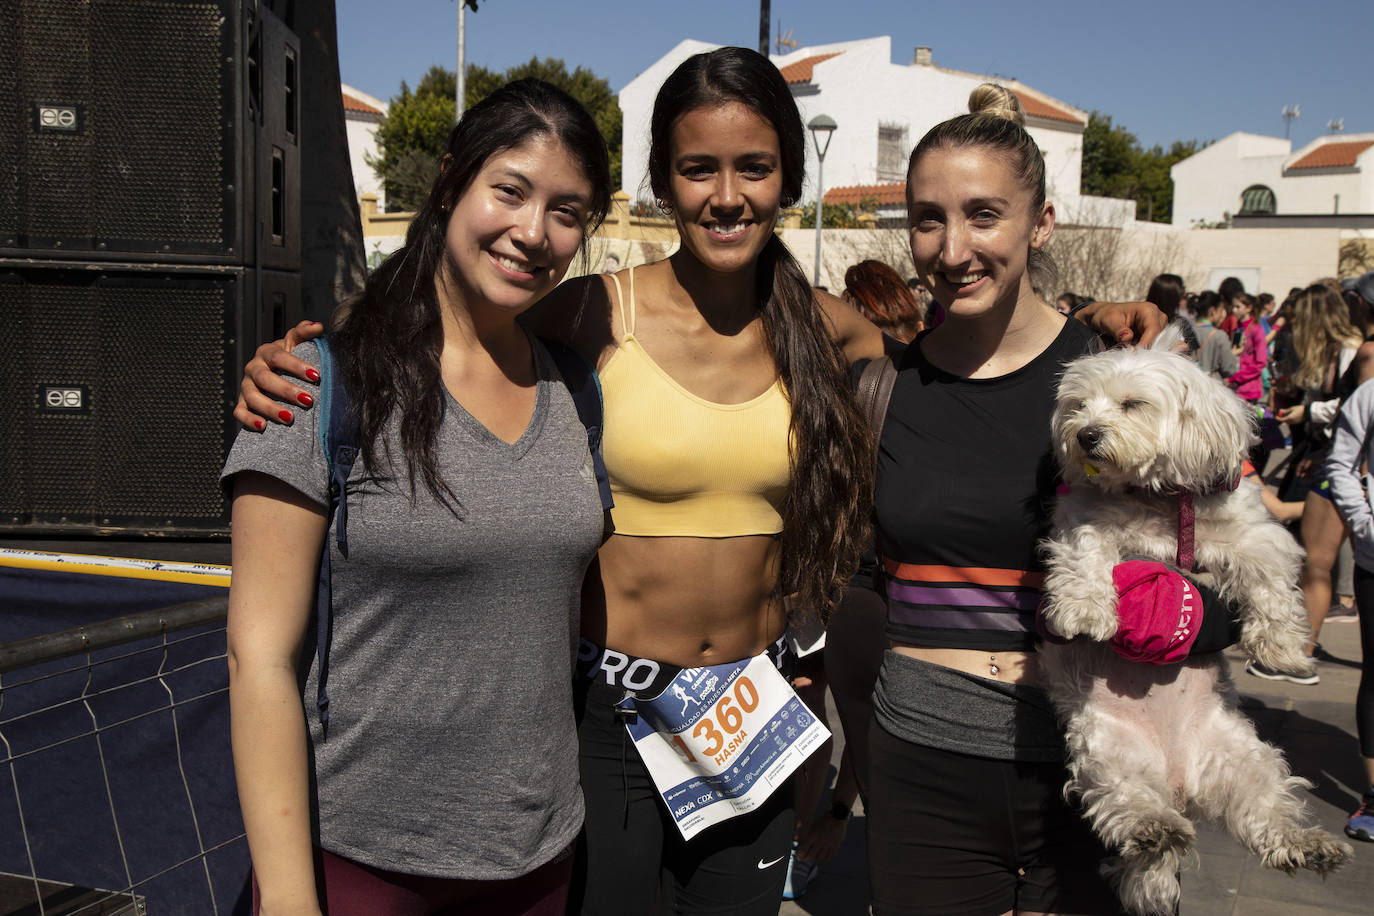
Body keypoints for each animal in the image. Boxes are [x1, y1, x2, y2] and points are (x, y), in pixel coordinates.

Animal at [1038, 329, 1352, 916]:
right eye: (1077, 406)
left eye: (1131, 404)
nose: (1085, 435)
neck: (1159, 502)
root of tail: (1181, 785)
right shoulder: (1085, 521)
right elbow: (1087, 553)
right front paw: (1086, 609)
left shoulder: (1254, 536)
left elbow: (1273, 583)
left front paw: (1281, 649)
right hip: (1106, 753)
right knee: (1128, 807)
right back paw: (1156, 830)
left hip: (1246, 758)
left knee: (1266, 812)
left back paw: (1306, 844)